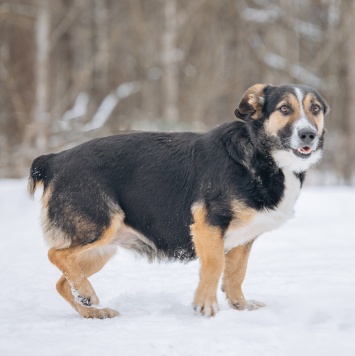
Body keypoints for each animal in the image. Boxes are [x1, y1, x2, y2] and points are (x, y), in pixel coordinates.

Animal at [29, 84, 330, 320]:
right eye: (284, 109)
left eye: (315, 109)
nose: (308, 135)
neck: (260, 155)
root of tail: (56, 159)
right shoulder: (208, 224)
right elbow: (214, 266)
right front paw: (205, 305)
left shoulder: (243, 239)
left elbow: (236, 274)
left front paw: (240, 306)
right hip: (100, 228)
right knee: (55, 255)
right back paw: (88, 294)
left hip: (101, 250)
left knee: (62, 282)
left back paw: (91, 309)